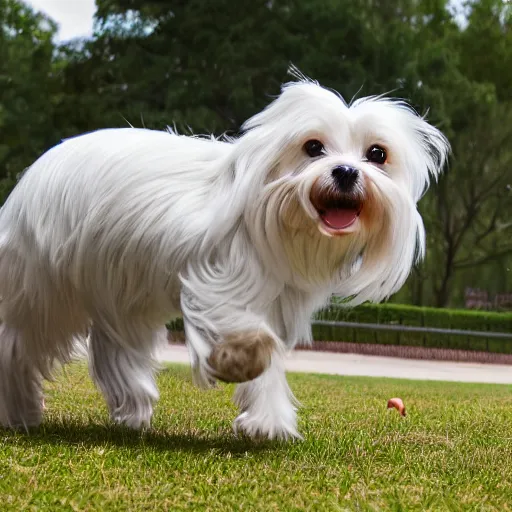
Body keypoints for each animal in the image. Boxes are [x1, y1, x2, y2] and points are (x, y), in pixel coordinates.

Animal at [0, 70, 448, 440]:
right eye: (313, 147)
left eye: (377, 154)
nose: (346, 172)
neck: (278, 218)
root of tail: (33, 174)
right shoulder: (222, 282)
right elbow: (246, 335)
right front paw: (236, 362)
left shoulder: (274, 301)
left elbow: (269, 368)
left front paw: (268, 422)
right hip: (46, 289)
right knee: (16, 343)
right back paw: (20, 411)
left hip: (120, 291)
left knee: (115, 351)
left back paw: (133, 409)